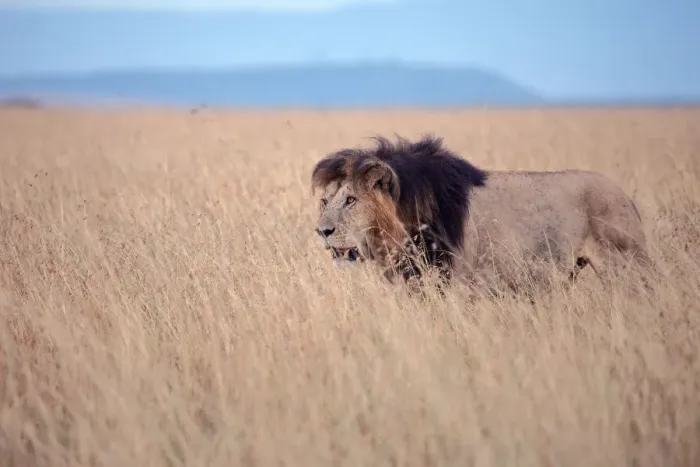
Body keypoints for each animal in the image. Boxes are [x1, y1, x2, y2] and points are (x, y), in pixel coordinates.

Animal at [311, 135, 652, 296]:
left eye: (351, 200)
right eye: (325, 201)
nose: (322, 232)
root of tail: (625, 195)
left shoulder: (460, 284)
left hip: (626, 265)